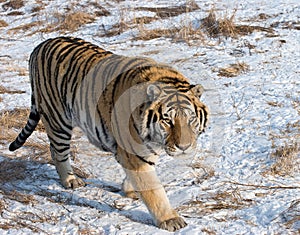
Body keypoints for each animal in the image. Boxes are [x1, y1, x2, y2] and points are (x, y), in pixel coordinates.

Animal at [9, 36, 211, 231]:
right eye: (168, 121)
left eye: (191, 119)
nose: (184, 147)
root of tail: (40, 45)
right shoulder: (134, 153)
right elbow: (153, 190)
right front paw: (170, 220)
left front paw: (129, 189)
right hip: (58, 119)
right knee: (57, 151)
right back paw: (71, 180)